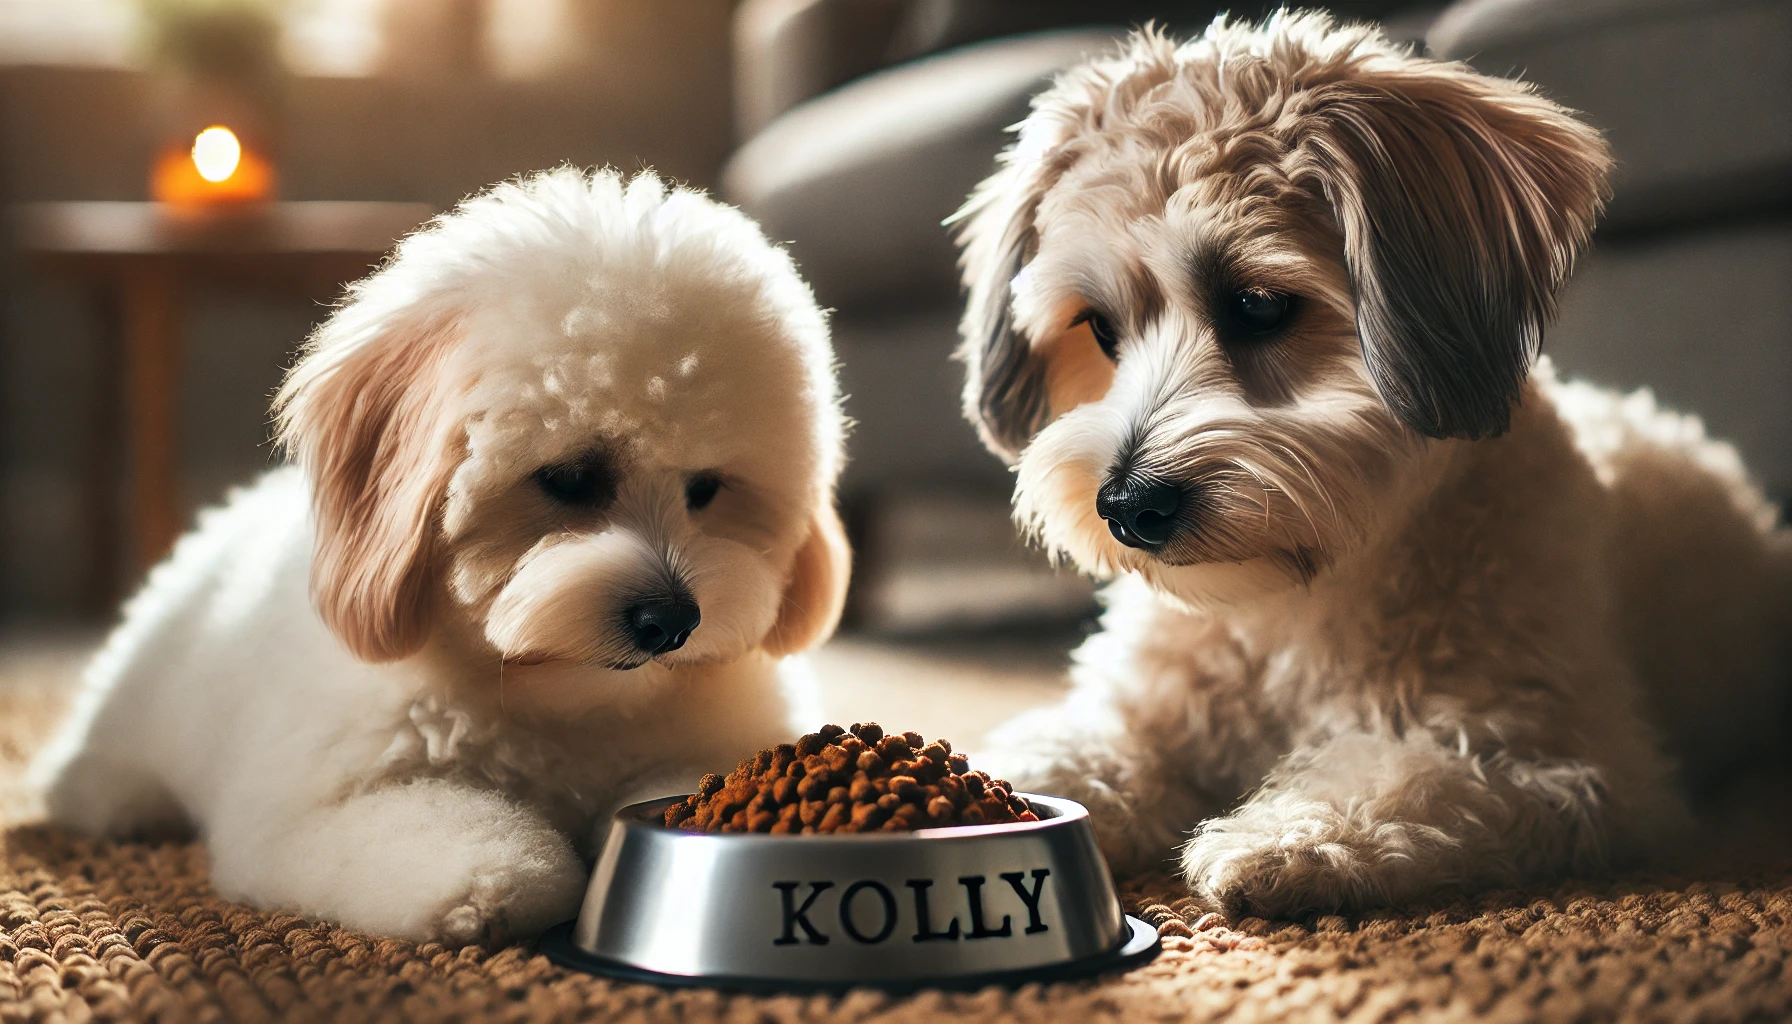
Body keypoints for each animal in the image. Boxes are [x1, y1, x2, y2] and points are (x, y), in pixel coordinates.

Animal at [31, 168, 845, 946]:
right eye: (569, 478)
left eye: (706, 489)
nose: (671, 621)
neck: (559, 703)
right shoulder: (305, 810)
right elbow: (449, 833)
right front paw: (496, 881)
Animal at [953, 11, 1792, 918]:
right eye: (1101, 329)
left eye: (1258, 306)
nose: (1128, 507)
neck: (1288, 607)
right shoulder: (1140, 711)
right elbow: (1071, 750)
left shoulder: (1559, 764)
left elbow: (1408, 779)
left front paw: (1289, 833)